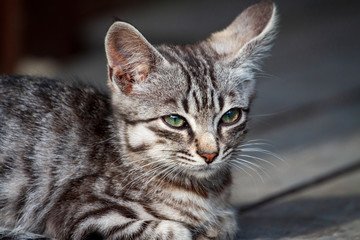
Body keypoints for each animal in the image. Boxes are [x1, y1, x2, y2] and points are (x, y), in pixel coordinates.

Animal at [0, 0, 278, 239]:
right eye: (175, 121)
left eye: (230, 116)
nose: (209, 154)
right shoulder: (79, 213)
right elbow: (174, 230)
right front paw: (194, 228)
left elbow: (227, 220)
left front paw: (213, 225)